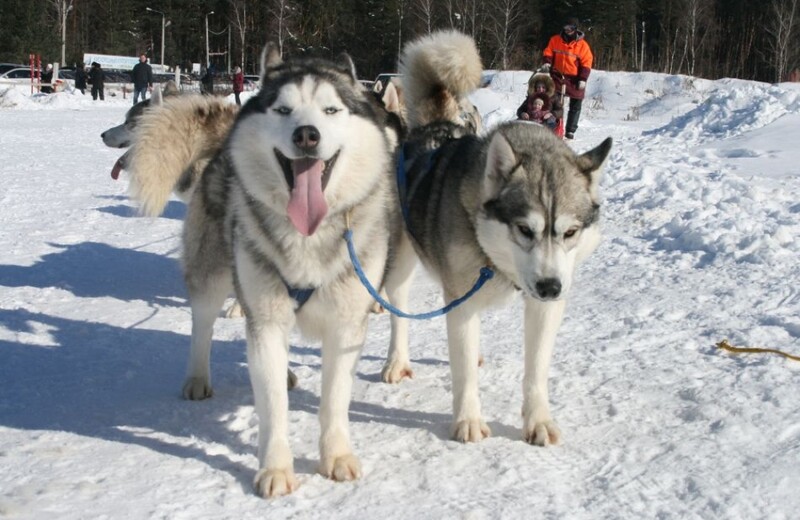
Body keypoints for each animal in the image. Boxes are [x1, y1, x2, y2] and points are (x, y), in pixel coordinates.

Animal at [394, 31, 612, 446]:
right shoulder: (461, 301)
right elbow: (464, 373)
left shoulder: (544, 308)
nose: (550, 287)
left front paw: (538, 420)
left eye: (570, 232)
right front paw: (467, 420)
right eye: (525, 229)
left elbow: (536, 371)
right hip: (396, 264)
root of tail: (434, 130)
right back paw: (395, 362)